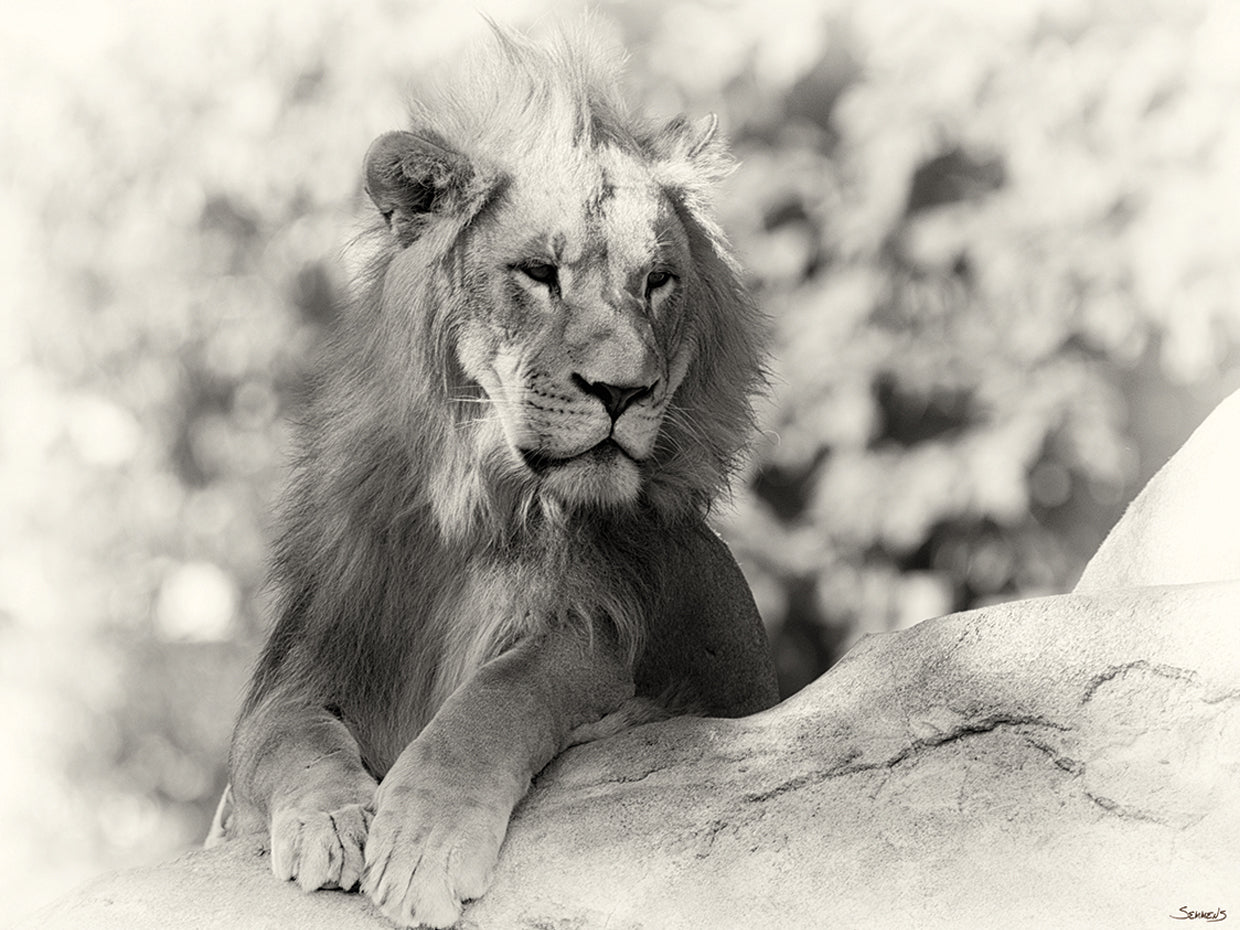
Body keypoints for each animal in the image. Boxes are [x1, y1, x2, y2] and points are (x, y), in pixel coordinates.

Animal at [212, 25, 778, 929]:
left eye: (658, 282)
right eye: (540, 273)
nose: (624, 391)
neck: (477, 504)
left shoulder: (591, 625)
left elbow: (494, 700)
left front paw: (420, 848)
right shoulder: (307, 657)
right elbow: (283, 737)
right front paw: (330, 822)